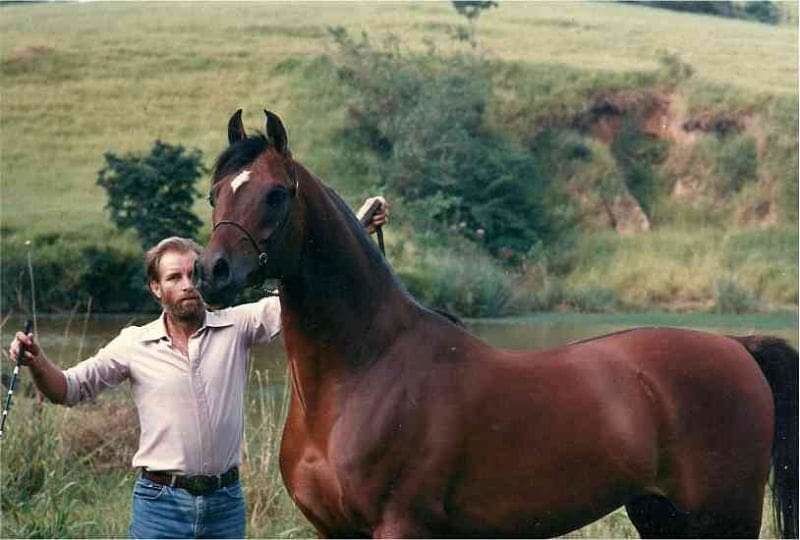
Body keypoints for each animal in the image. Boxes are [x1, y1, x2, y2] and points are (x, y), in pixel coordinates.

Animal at [195, 108, 800, 536]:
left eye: (276, 194)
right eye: (215, 192)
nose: (210, 272)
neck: (364, 371)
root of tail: (737, 346)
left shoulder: (400, 527)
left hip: (723, 519)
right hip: (661, 516)